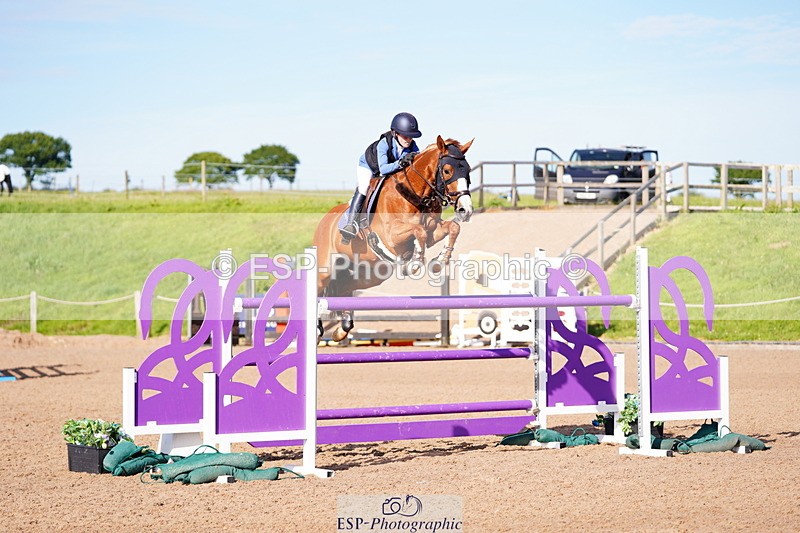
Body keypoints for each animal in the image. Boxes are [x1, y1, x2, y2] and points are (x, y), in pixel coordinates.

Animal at [313, 135, 474, 341]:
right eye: (447, 170)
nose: (465, 210)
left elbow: (452, 227)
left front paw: (439, 261)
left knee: (343, 289)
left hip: (370, 274)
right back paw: (318, 328)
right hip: (326, 269)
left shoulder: (433, 230)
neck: (415, 196)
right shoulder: (391, 237)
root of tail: (324, 220)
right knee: (318, 290)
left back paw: (342, 329)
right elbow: (418, 231)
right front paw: (415, 263)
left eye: (467, 170)